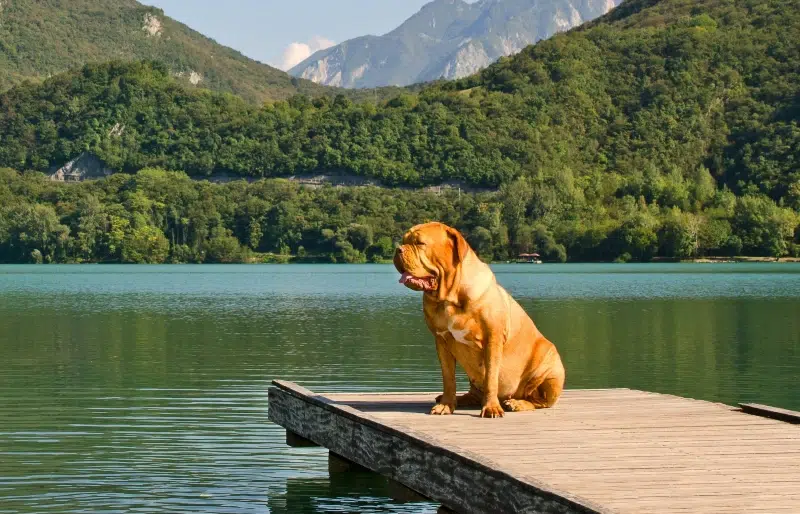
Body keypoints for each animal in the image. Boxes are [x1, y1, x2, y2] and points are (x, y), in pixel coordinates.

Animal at [392, 220, 564, 416]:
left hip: (550, 369)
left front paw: (491, 408)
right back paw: (456, 399)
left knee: (539, 401)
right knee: (473, 392)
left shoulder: (492, 339)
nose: (398, 249)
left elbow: (491, 378)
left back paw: (517, 403)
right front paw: (446, 404)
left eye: (420, 243)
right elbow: (448, 378)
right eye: (404, 241)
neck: (450, 297)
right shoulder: (441, 340)